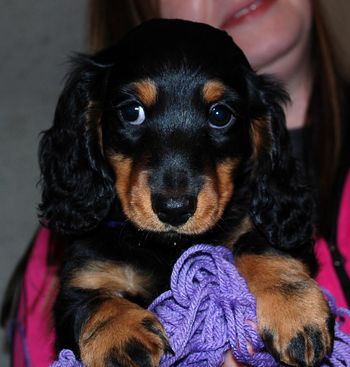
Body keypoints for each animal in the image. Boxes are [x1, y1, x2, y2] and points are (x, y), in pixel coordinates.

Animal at [39, 20, 334, 367]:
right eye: (131, 111)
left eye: (220, 114)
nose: (174, 209)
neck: (168, 246)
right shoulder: (81, 280)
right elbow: (93, 302)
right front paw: (121, 338)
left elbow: (258, 242)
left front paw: (295, 309)